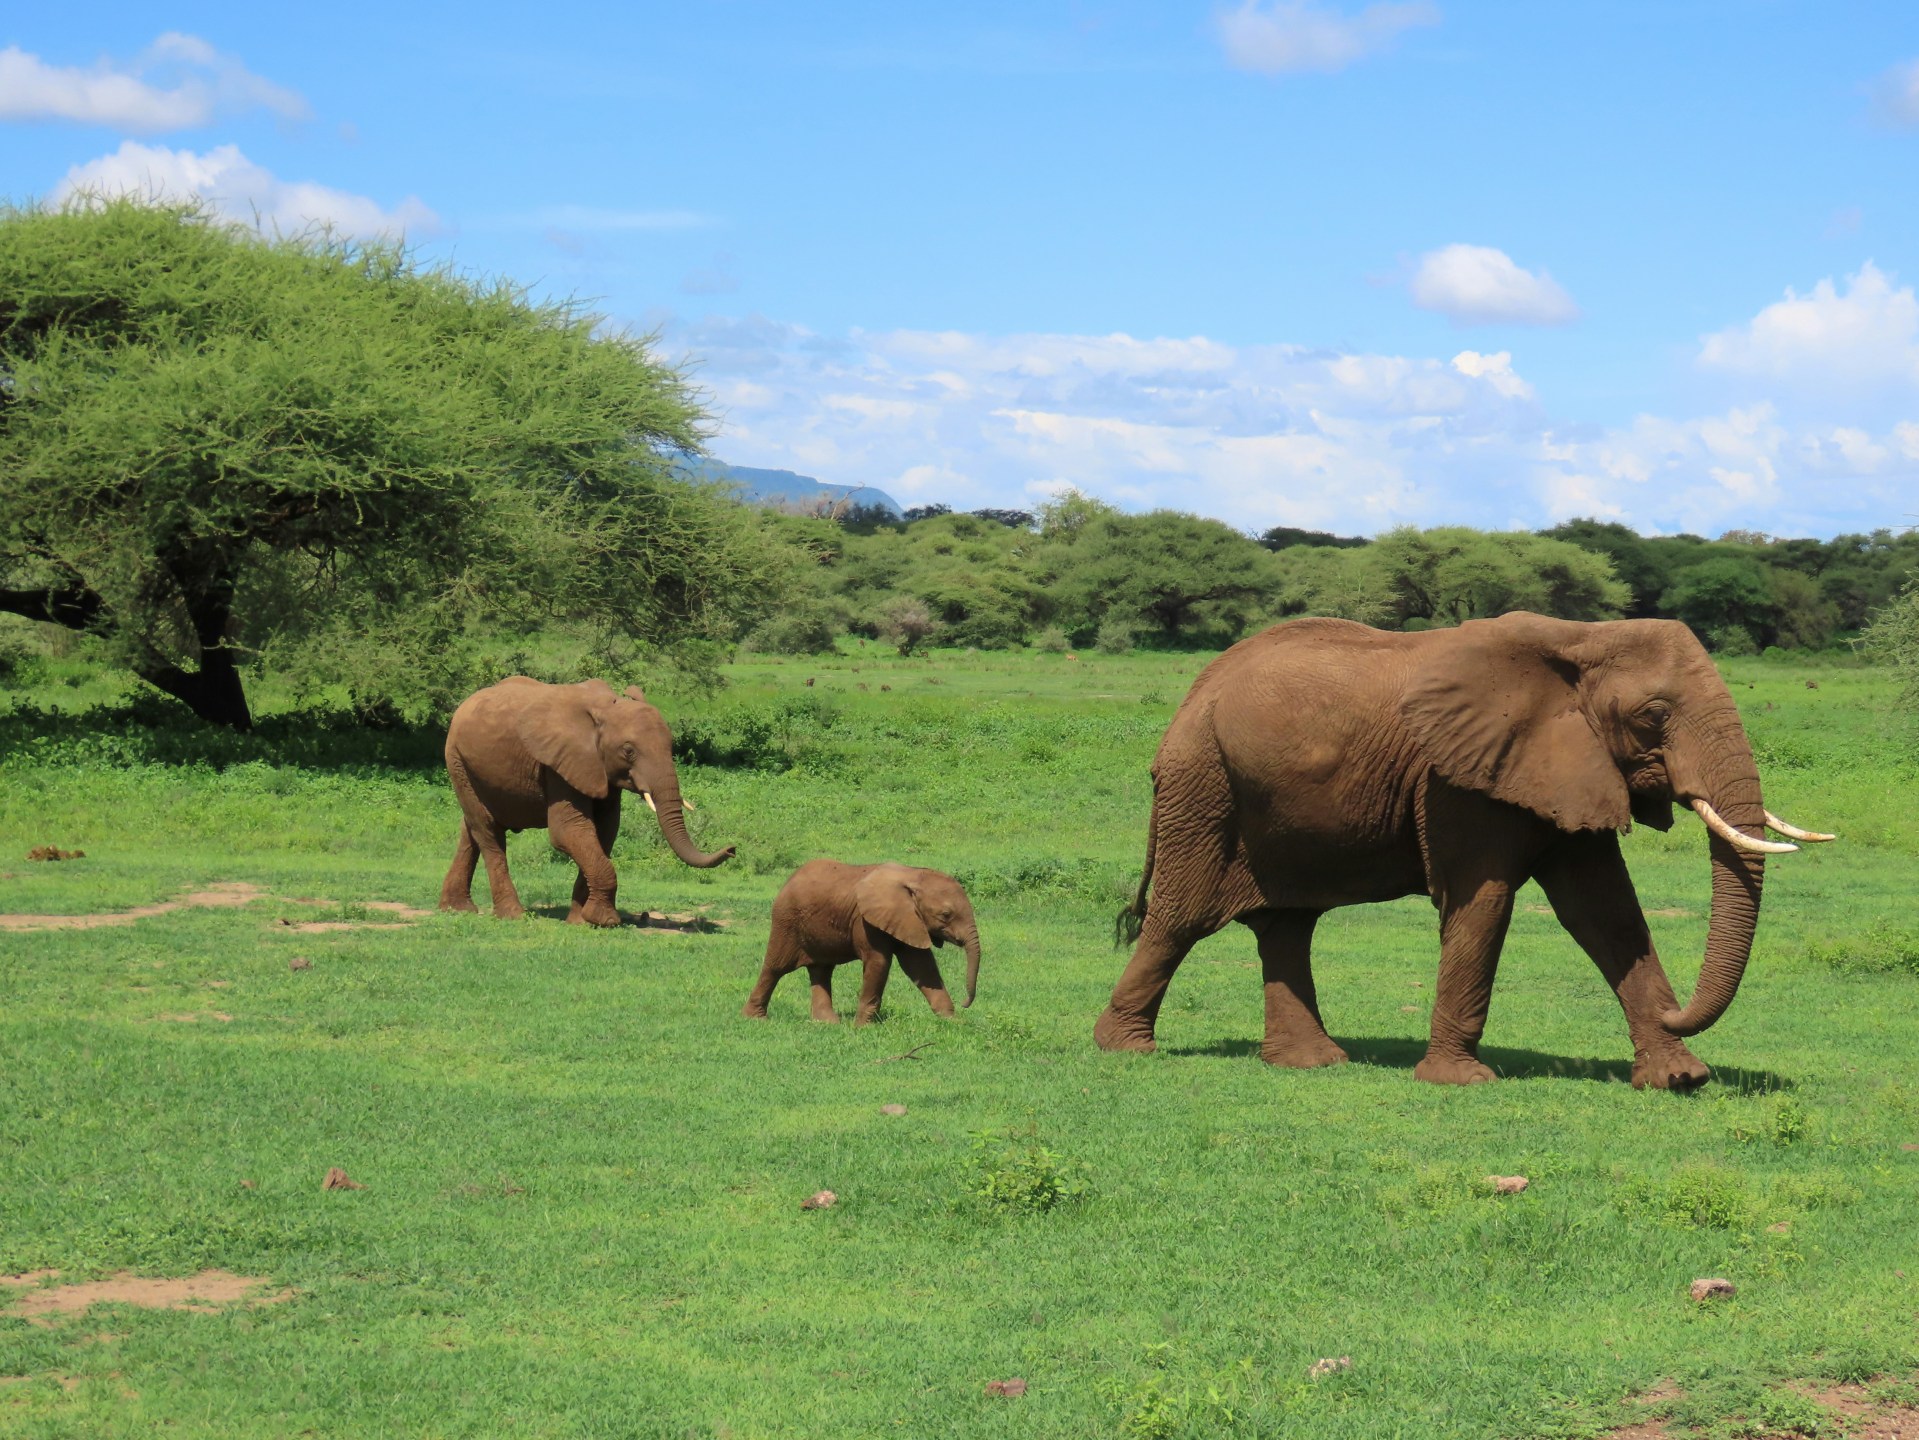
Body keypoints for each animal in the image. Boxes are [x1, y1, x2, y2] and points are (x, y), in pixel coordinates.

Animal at [439, 677, 734, 926]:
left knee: (471, 829)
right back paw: (513, 915)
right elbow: (569, 831)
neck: (604, 710)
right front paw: (605, 920)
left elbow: (604, 831)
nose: (732, 849)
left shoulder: (600, 770)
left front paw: (581, 921)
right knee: (488, 831)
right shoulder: (560, 763)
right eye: (628, 751)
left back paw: (457, 909)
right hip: (455, 759)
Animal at [742, 861, 982, 1024]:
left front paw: (952, 1022)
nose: (965, 1003)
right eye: (946, 915)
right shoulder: (866, 921)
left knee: (821, 970)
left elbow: (922, 966)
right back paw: (755, 1018)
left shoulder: (909, 920)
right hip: (786, 921)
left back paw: (827, 1023)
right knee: (775, 967)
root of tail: (789, 880)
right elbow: (879, 963)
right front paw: (862, 1028)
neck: (912, 874)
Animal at [1094, 613, 1834, 1089]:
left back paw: (1312, 1064)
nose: (1674, 1010)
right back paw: (1126, 1050)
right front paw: (1461, 1081)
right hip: (1203, 783)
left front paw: (1678, 1079)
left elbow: (1605, 913)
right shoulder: (1455, 778)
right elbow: (1483, 903)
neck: (1580, 637)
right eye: (1654, 715)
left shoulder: (1566, 764)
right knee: (1183, 917)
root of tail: (1193, 692)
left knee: (1287, 924)